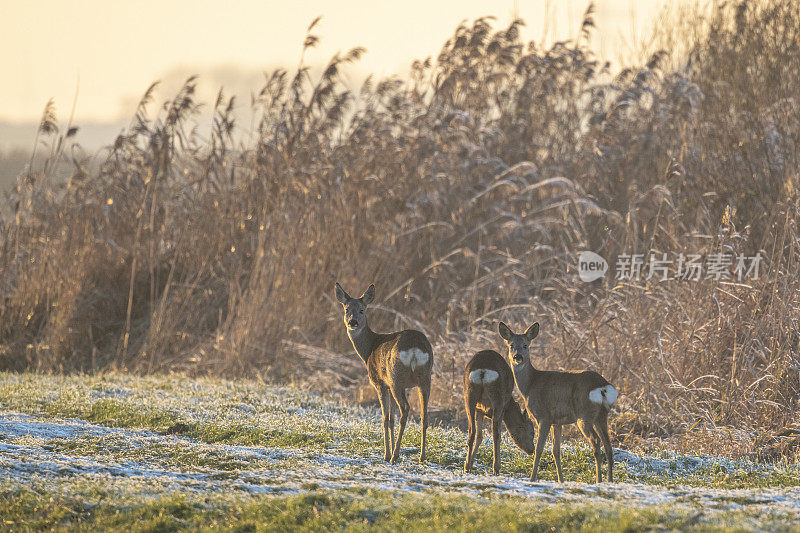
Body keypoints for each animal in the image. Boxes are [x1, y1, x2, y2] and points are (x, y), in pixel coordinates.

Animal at [332, 282, 432, 462]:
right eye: (347, 309)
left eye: (362, 310)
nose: (353, 322)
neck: (369, 349)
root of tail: (415, 348)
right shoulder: (389, 385)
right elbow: (391, 419)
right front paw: (390, 450)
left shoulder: (380, 383)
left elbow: (385, 418)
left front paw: (386, 454)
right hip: (425, 378)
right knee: (424, 415)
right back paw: (421, 456)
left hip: (396, 378)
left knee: (405, 409)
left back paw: (395, 456)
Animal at [500, 320, 620, 482]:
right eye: (511, 345)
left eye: (525, 345)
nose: (517, 357)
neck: (530, 384)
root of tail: (602, 386)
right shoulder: (557, 421)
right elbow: (555, 450)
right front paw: (561, 480)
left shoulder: (544, 416)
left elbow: (539, 449)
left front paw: (532, 478)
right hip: (601, 415)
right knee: (608, 445)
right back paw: (609, 481)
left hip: (584, 415)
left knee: (595, 441)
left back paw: (598, 480)